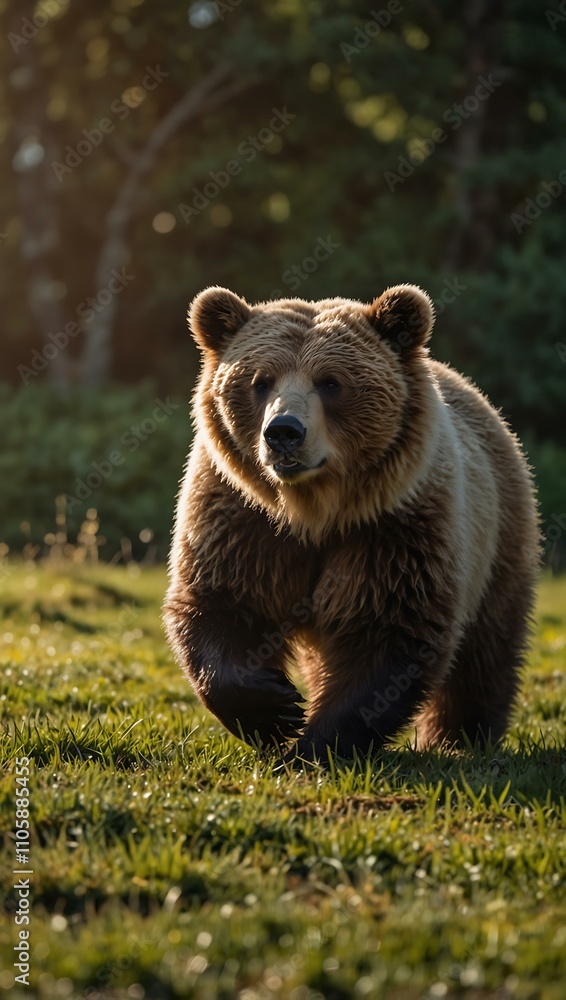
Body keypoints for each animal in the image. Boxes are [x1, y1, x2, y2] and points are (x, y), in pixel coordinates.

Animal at [163, 283, 539, 762]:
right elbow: (218, 603)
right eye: (259, 381)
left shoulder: (394, 529)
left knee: (486, 648)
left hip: (498, 537)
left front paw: (316, 745)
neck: (313, 511)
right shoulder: (241, 518)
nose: (283, 432)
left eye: (330, 382)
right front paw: (275, 709)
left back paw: (461, 736)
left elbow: (390, 633)